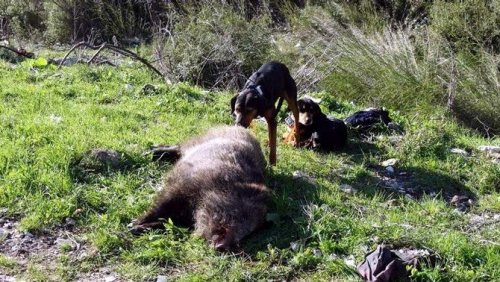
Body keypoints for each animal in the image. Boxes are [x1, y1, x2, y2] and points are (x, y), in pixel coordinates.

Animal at [129, 125, 270, 251]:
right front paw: (133, 224)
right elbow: (159, 208)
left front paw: (135, 228)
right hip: (196, 140)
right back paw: (150, 151)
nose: (224, 247)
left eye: (248, 234)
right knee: (178, 147)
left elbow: (165, 222)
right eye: (243, 216)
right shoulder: (180, 187)